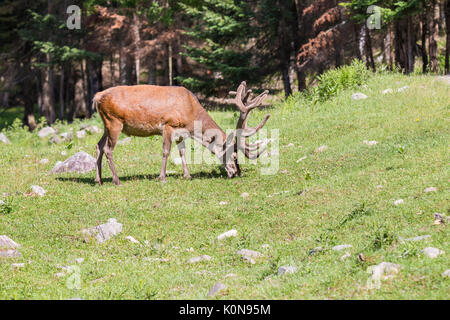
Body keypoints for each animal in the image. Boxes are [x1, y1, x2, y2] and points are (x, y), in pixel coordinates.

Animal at [89, 81, 268, 185]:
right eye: (234, 154)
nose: (237, 173)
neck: (190, 115)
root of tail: (97, 97)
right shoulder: (168, 124)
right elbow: (166, 151)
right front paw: (162, 178)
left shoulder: (181, 133)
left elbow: (182, 152)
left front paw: (187, 175)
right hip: (114, 122)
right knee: (108, 149)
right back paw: (116, 180)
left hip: (106, 124)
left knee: (98, 146)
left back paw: (98, 179)